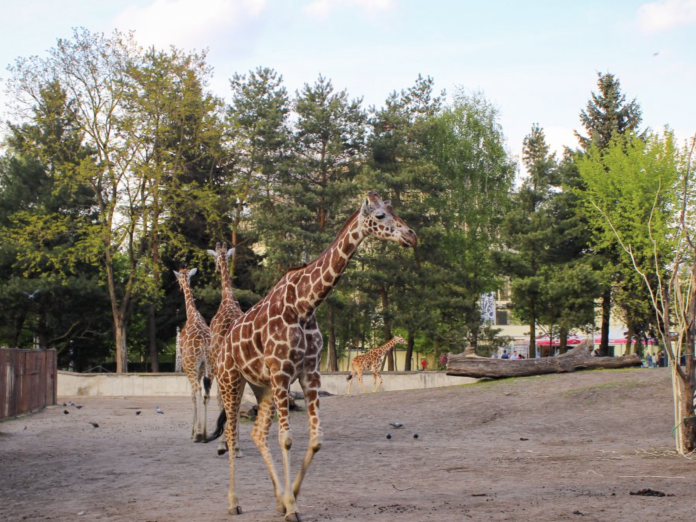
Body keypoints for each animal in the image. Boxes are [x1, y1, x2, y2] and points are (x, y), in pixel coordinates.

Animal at [204, 193, 416, 516]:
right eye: (380, 216)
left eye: (394, 210)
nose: (411, 235)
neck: (305, 305)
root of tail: (226, 343)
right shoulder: (282, 373)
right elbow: (287, 439)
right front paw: (292, 507)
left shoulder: (309, 373)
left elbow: (316, 440)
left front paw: (290, 496)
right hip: (231, 379)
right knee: (231, 432)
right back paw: (233, 502)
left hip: (263, 387)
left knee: (257, 433)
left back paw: (277, 498)